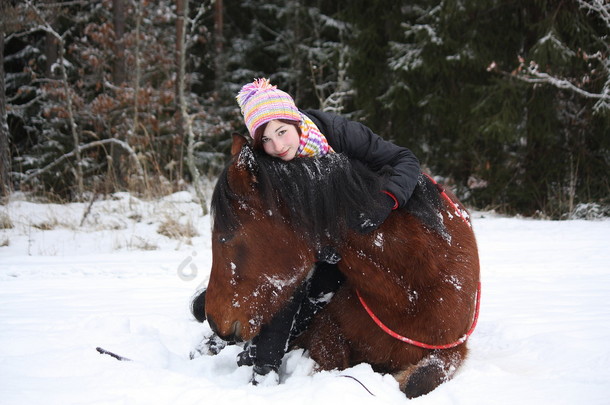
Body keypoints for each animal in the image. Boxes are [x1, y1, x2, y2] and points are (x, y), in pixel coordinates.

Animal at [204, 134, 480, 396]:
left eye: (226, 236)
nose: (214, 320)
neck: (410, 292)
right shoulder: (325, 330)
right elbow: (332, 363)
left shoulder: (452, 349)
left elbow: (417, 383)